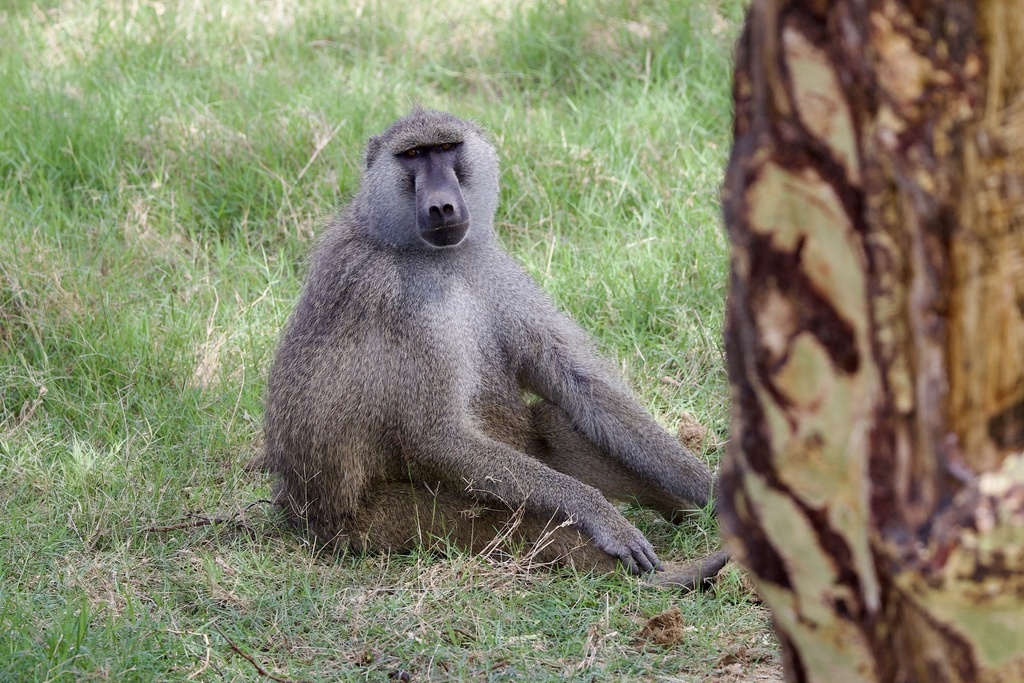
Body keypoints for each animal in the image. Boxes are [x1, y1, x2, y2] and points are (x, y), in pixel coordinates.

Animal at [262, 110, 728, 589]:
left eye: (446, 148)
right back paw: (672, 573)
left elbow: (581, 386)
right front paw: (599, 514)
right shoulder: (398, 298)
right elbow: (437, 435)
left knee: (558, 422)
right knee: (514, 520)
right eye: (412, 155)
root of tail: (299, 511)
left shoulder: (490, 269)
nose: (442, 206)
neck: (425, 253)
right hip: (385, 521)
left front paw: (717, 493)